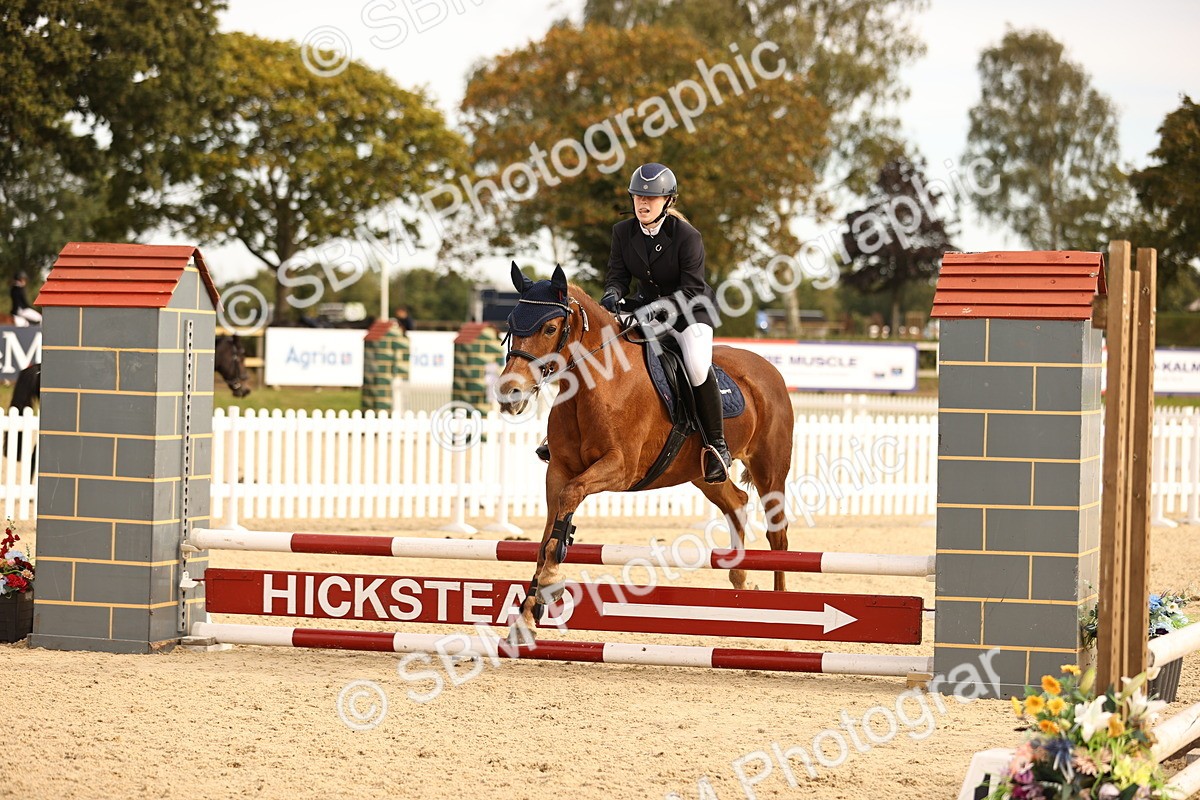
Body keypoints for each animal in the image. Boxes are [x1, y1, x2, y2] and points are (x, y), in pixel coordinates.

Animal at [497, 264, 795, 639]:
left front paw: (551, 581)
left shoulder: (620, 468)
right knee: (736, 503)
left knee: (777, 533)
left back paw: (781, 606)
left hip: (769, 469)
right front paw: (527, 616)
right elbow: (548, 532)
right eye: (510, 323)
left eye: (550, 328)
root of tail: (768, 368)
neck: (600, 381)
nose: (510, 393)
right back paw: (740, 583)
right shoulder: (559, 470)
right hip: (701, 474)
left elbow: (570, 497)